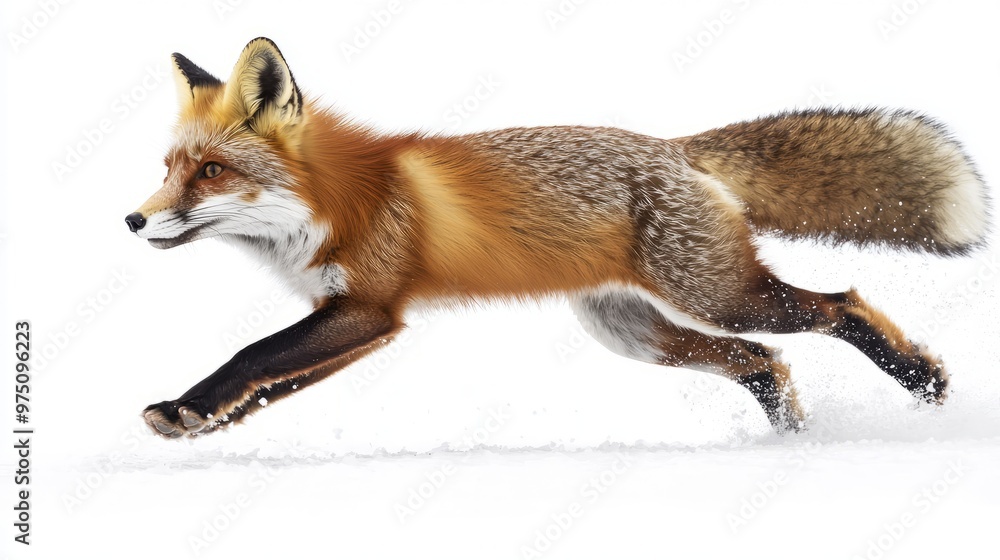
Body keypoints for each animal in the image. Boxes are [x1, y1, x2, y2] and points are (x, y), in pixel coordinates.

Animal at [127, 37, 989, 439]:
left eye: (210, 171)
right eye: (169, 168)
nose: (132, 220)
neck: (335, 201)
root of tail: (673, 148)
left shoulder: (371, 307)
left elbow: (254, 356)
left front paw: (192, 406)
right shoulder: (356, 318)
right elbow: (274, 381)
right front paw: (205, 419)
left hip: (720, 295)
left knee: (836, 305)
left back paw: (921, 382)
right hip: (632, 332)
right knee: (763, 362)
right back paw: (796, 443)